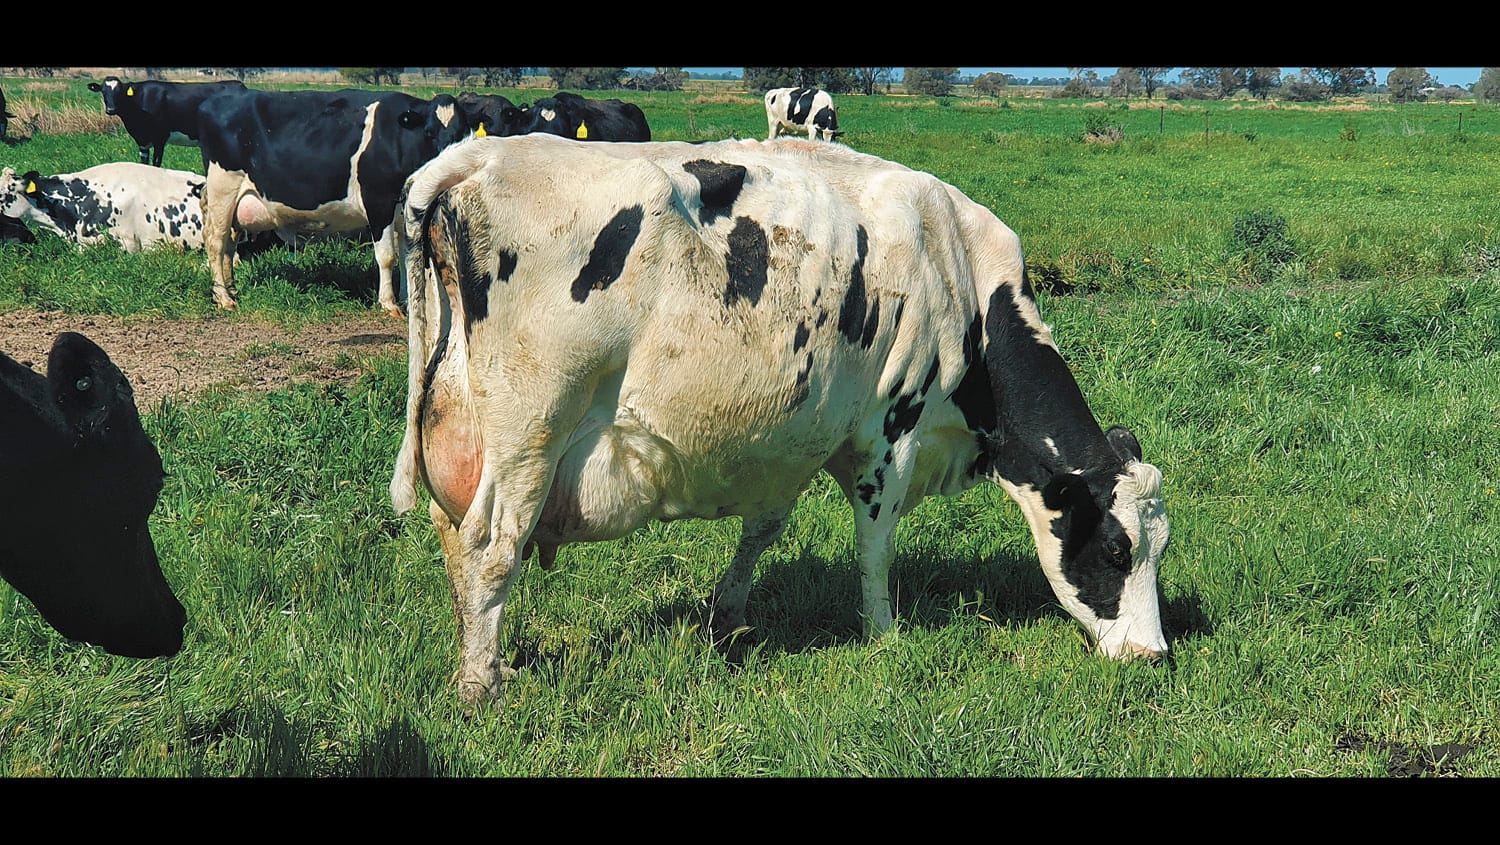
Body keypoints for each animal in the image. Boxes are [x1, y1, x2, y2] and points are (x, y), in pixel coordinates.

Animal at [87, 76, 247, 167]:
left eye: (119, 92)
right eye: (103, 92)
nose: (111, 110)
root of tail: (240, 85)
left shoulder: (160, 138)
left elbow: (156, 164)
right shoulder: (142, 143)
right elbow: (144, 164)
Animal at [196, 87, 474, 316]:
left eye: (464, 133)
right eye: (429, 132)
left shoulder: (403, 211)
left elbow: (408, 257)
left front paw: (408, 301)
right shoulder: (378, 201)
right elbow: (387, 257)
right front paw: (389, 304)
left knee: (231, 241)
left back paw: (231, 288)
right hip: (223, 187)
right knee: (216, 240)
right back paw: (224, 298)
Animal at [389, 134, 1171, 707]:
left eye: (1161, 550)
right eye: (1116, 550)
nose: (1152, 655)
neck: (963, 273)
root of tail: (479, 155)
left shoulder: (794, 437)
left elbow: (763, 530)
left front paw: (728, 618)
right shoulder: (893, 431)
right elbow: (875, 548)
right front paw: (884, 636)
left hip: (466, 431)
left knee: (455, 539)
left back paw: (480, 656)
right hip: (532, 436)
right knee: (493, 547)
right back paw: (481, 685)